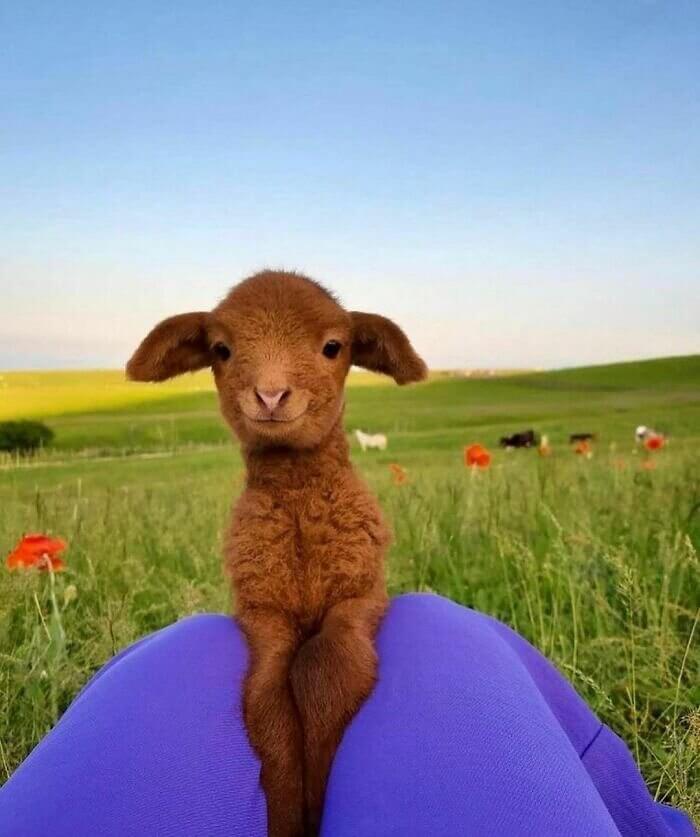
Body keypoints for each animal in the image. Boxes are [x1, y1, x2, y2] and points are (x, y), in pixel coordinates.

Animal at [126, 270, 427, 837]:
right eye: (221, 350)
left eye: (333, 347)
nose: (269, 394)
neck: (299, 509)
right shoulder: (261, 612)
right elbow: (265, 699)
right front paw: (288, 809)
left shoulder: (361, 595)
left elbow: (327, 667)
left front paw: (322, 792)